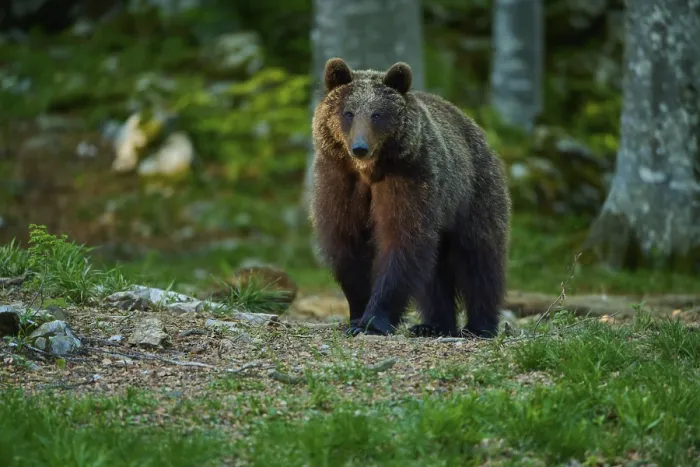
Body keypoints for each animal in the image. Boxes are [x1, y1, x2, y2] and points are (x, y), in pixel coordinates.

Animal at [309, 57, 511, 338]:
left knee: (479, 260)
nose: (360, 148)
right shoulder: (338, 182)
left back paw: (480, 326)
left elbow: (402, 240)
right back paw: (434, 325)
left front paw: (373, 321)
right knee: (435, 272)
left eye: (377, 114)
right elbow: (347, 244)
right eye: (348, 113)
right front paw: (357, 315)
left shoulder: (410, 177)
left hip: (474, 194)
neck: (368, 172)